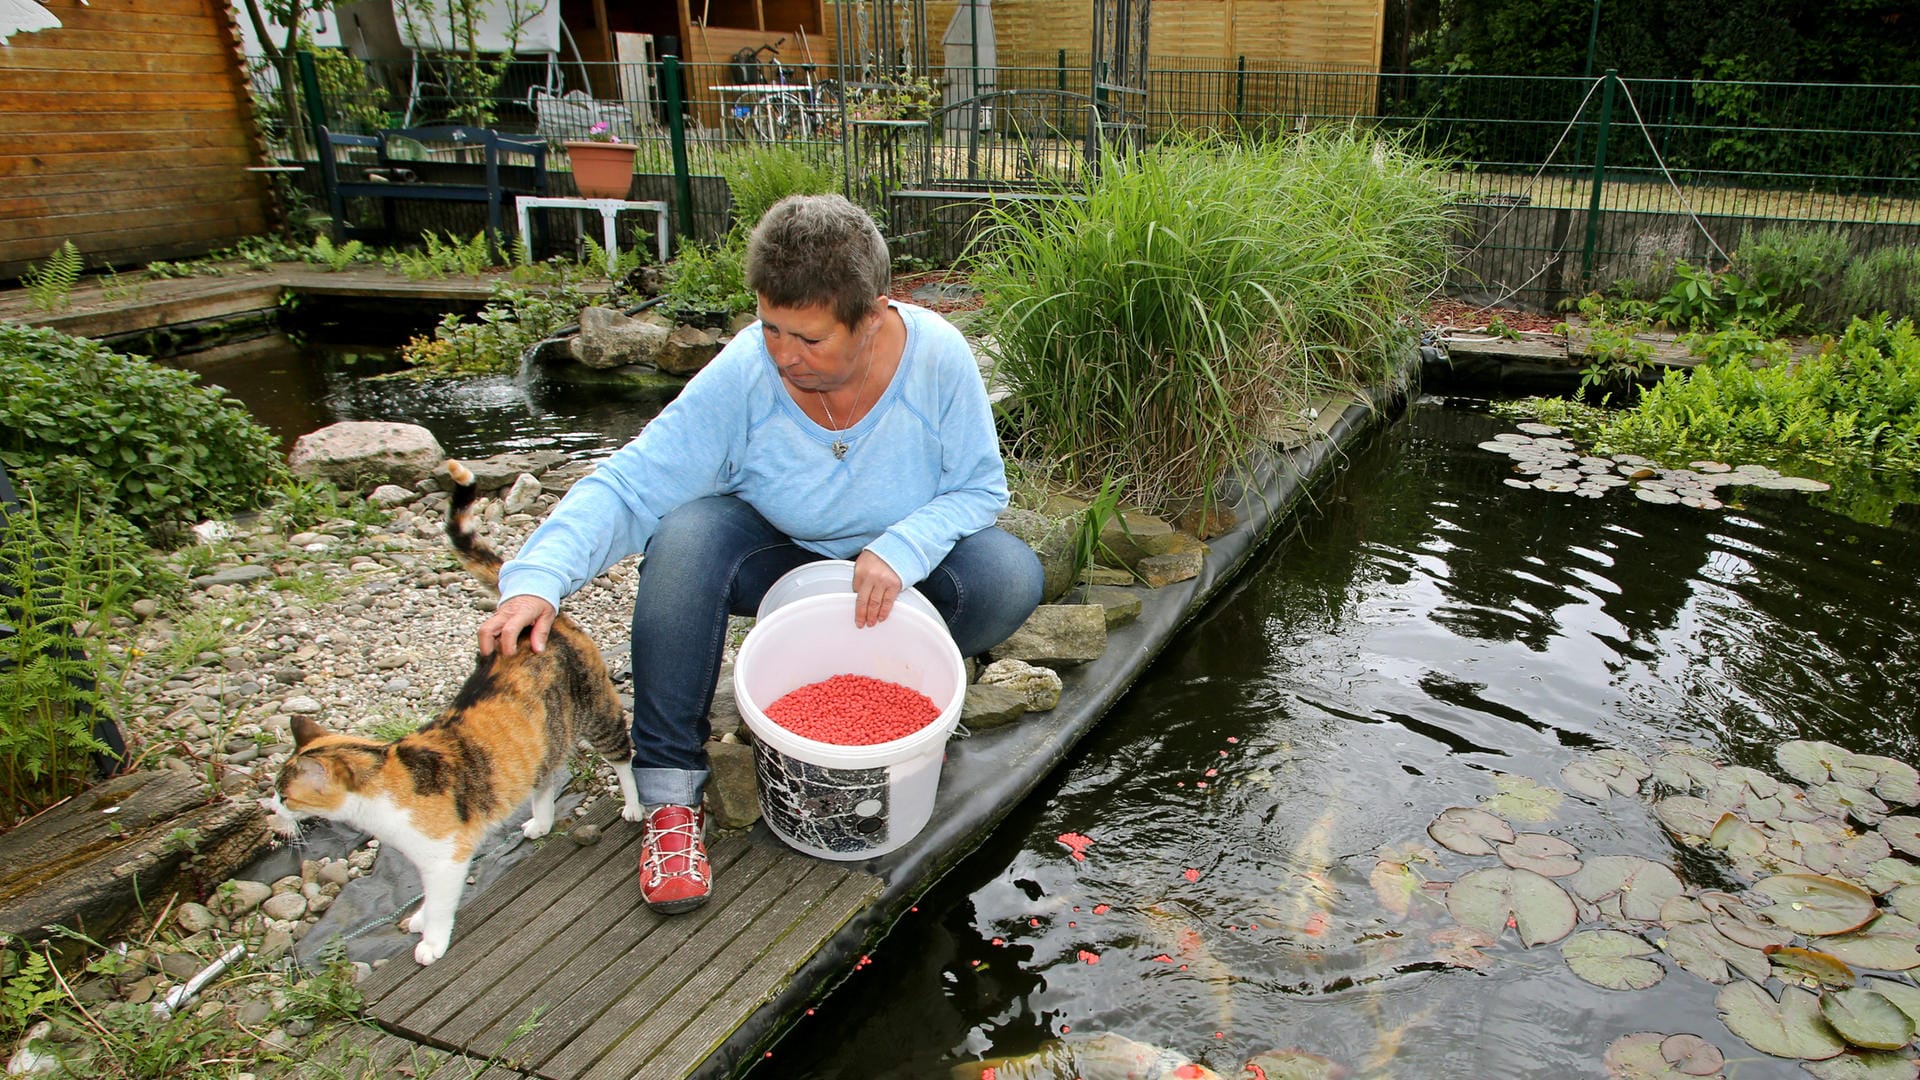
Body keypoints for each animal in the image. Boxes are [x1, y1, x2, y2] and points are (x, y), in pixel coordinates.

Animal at [270, 457, 645, 960]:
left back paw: (634, 805)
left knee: (622, 756)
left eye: (285, 795)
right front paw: (417, 920)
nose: (271, 813)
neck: (383, 775)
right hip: (540, 735)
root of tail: (547, 618)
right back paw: (541, 821)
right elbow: (428, 898)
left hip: (596, 711)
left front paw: (430, 941)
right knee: (544, 776)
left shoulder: (446, 856)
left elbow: (441, 902)